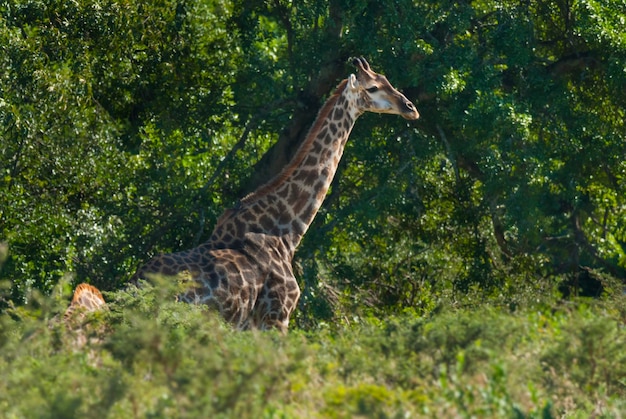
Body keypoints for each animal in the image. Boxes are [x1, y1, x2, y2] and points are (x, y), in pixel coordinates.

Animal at [70, 57, 416, 334]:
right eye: (373, 87)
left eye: (388, 80)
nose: (410, 108)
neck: (287, 230)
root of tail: (131, 289)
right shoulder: (277, 316)